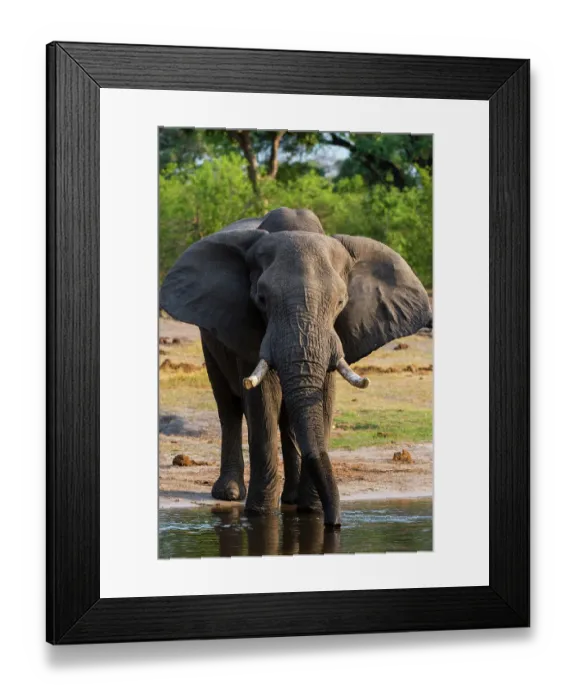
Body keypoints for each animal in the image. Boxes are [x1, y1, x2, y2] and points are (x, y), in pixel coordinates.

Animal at [160, 207, 432, 527]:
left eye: (341, 302)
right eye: (261, 299)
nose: (335, 524)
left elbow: (323, 397)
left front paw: (310, 511)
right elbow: (262, 401)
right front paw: (260, 515)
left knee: (286, 419)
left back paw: (290, 499)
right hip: (209, 338)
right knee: (228, 407)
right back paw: (229, 494)